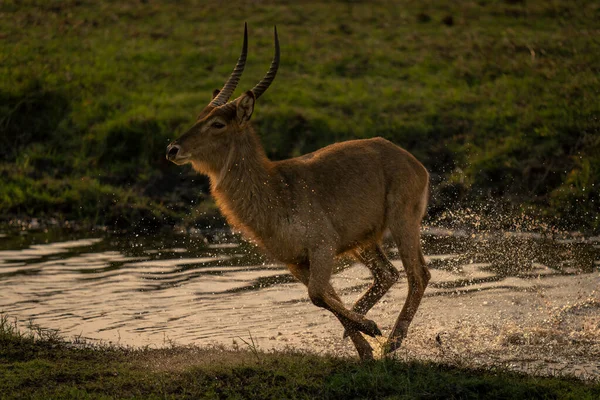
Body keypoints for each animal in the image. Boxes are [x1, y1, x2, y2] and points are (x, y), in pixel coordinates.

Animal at [168, 25, 432, 360]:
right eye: (199, 116)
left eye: (217, 123)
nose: (172, 149)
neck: (275, 189)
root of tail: (411, 160)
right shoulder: (295, 262)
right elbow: (326, 298)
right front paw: (363, 349)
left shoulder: (322, 247)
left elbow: (318, 295)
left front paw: (371, 330)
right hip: (363, 240)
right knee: (388, 274)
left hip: (402, 223)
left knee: (418, 275)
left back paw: (392, 343)